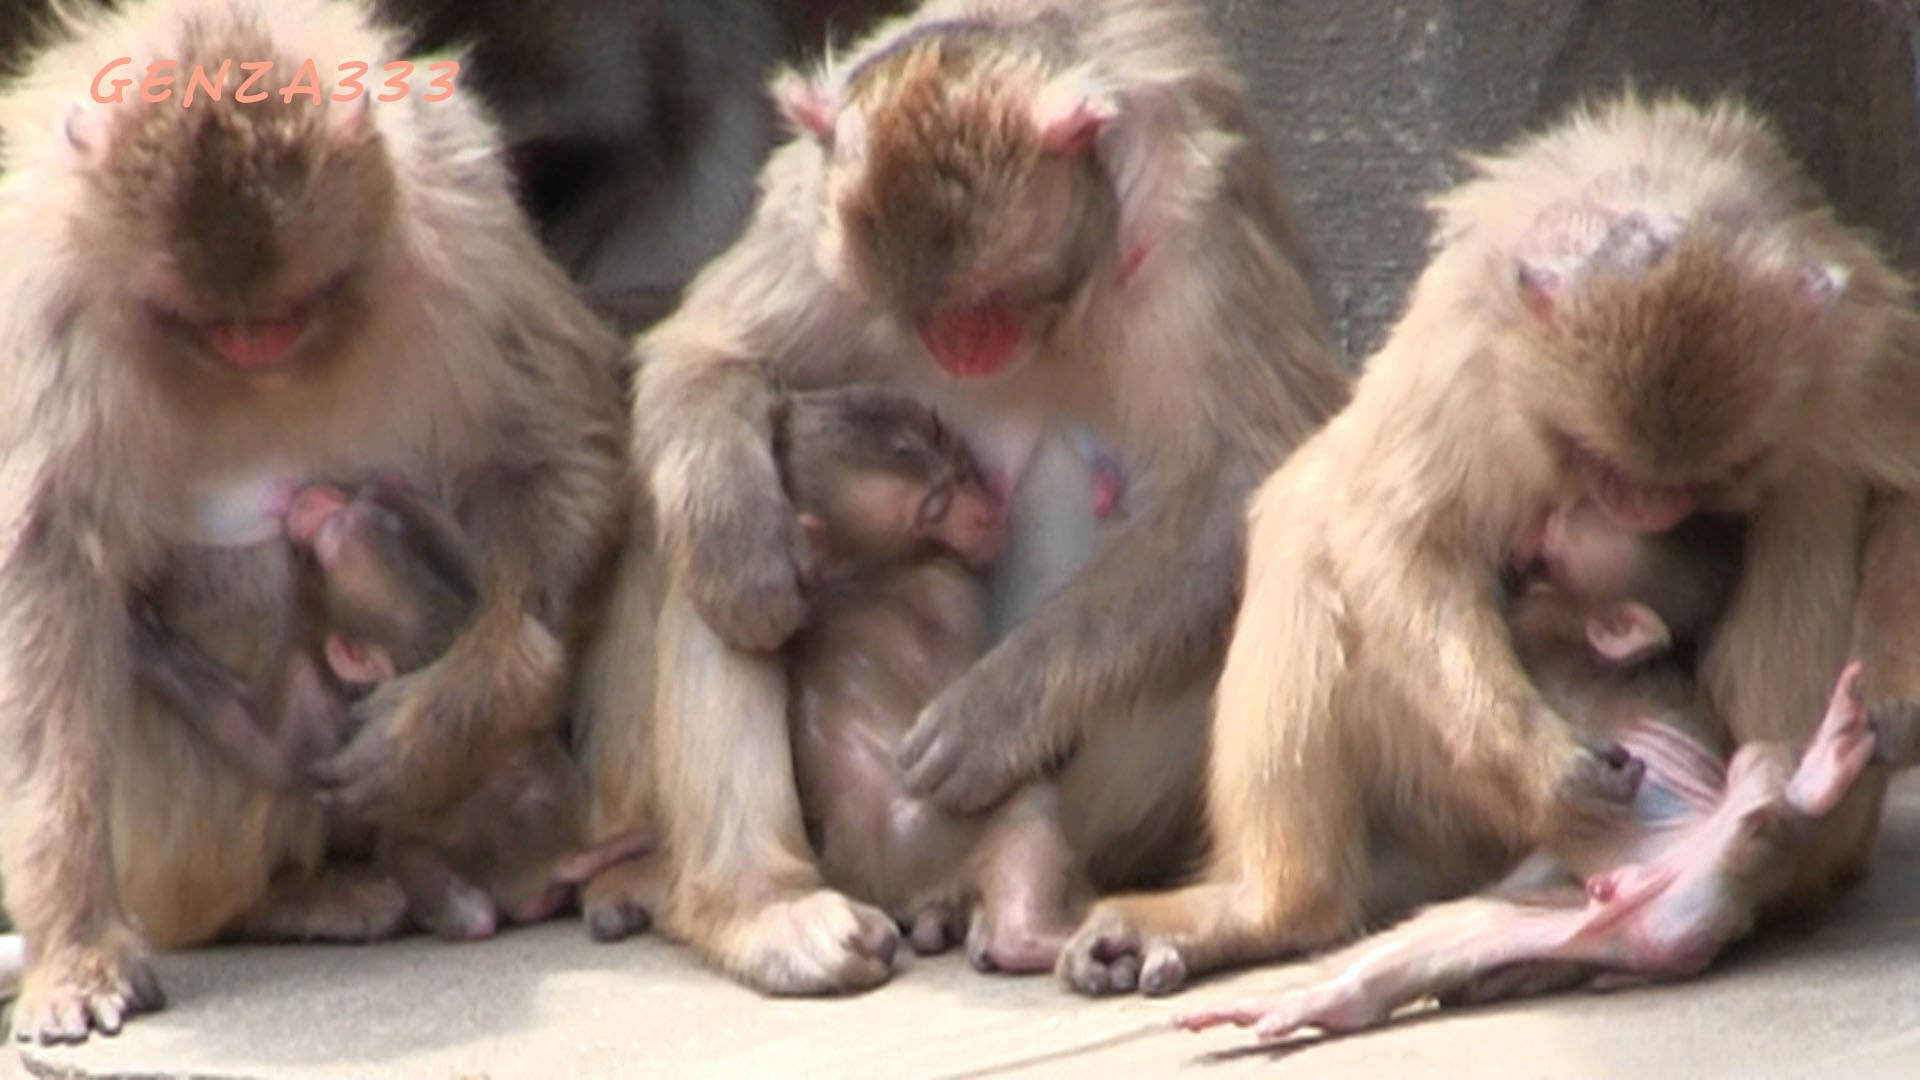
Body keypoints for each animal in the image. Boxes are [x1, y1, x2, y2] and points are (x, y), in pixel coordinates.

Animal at [0, 0, 627, 1043]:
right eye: (206, 322)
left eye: (297, 304)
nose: (258, 344)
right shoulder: (35, 310)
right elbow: (44, 574)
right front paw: (75, 948)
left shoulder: (462, 212)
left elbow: (553, 451)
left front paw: (450, 718)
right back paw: (279, 901)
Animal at [775, 385, 1089, 972]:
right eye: (934, 510)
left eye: (959, 470)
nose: (982, 515)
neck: (868, 571)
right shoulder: (947, 588)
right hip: (934, 840)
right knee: (1025, 801)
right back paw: (1027, 938)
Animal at [1058, 92, 1920, 998]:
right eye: (1593, 459)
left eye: (1715, 478)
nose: (1645, 512)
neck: (1665, 192)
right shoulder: (1465, 353)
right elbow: (1392, 529)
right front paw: (1548, 770)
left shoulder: (1861, 345)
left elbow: (1895, 482)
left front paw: (1894, 691)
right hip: (1456, 809)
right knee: (1308, 514)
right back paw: (1277, 909)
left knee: (1819, 484)